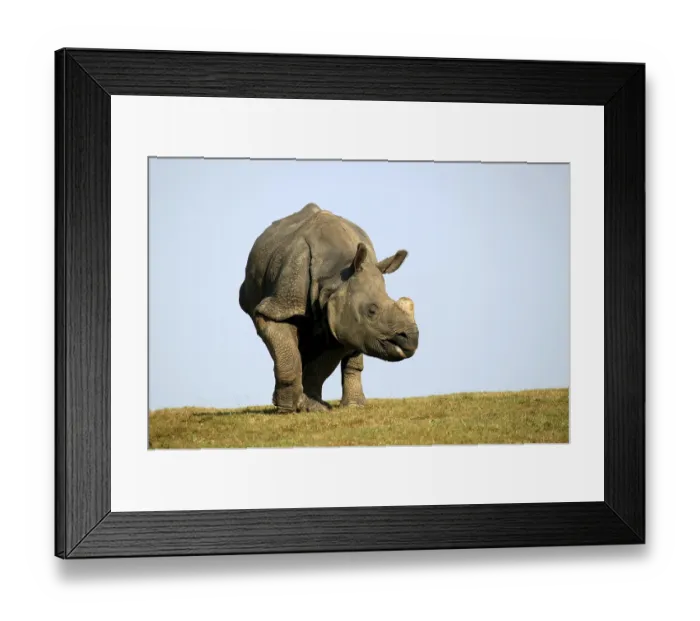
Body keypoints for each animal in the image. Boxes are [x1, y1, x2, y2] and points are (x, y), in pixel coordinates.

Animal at [239, 202, 419, 413]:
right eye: (372, 311)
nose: (411, 339)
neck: (333, 279)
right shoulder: (280, 305)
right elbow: (288, 354)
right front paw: (287, 408)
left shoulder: (341, 321)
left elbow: (321, 367)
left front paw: (311, 406)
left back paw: (354, 406)